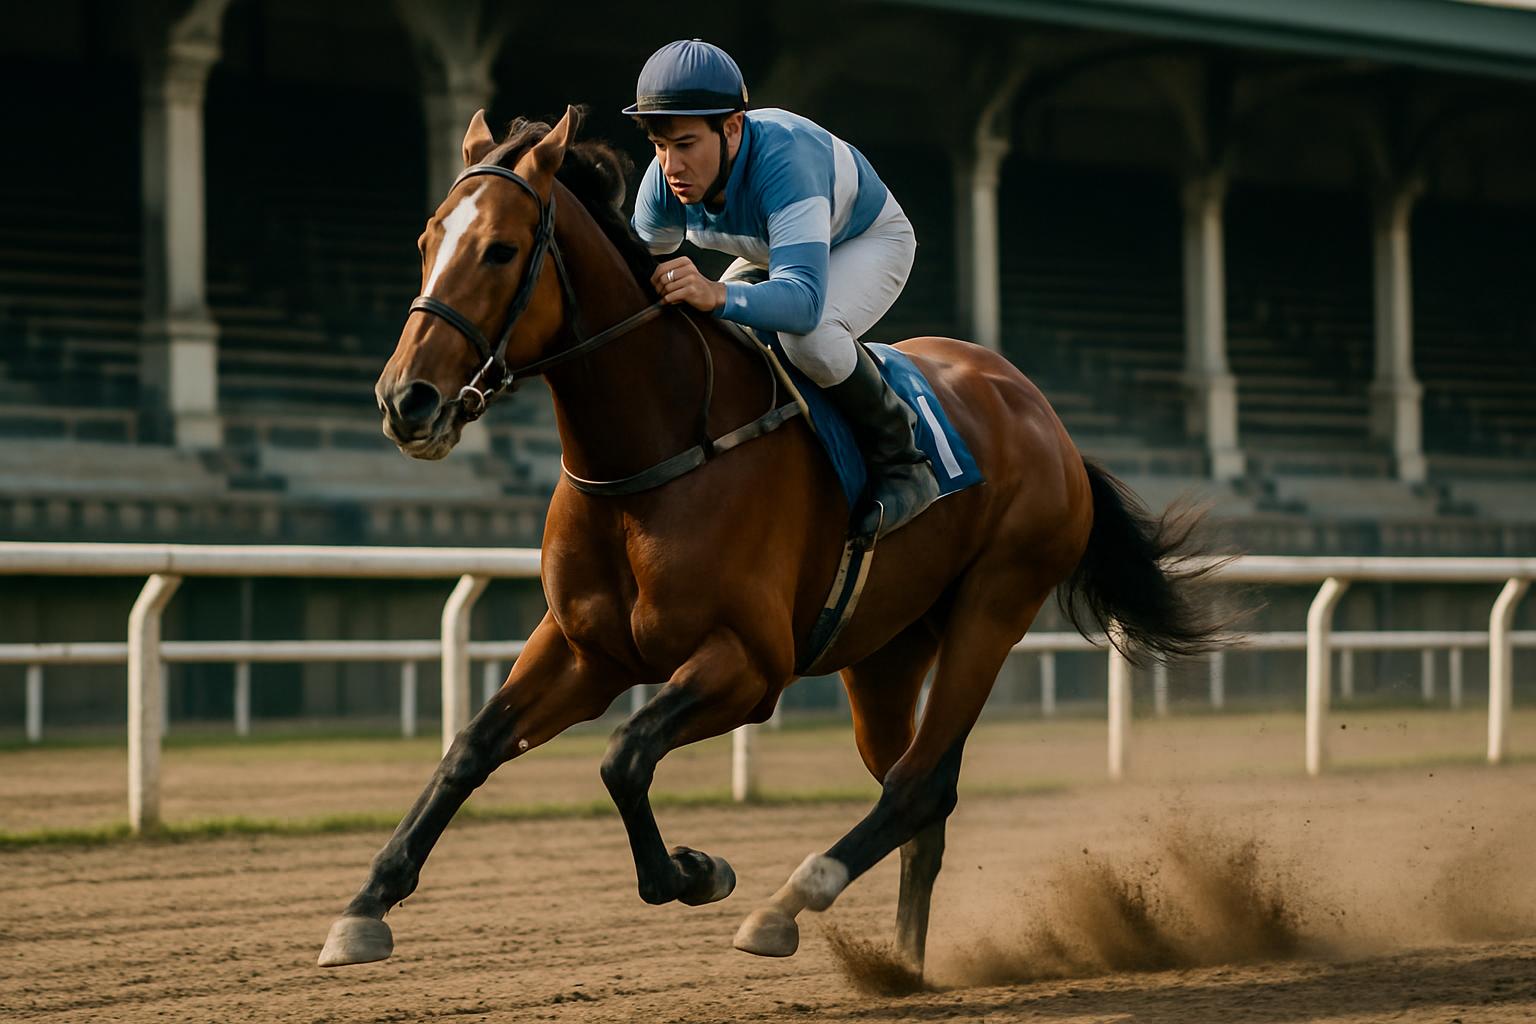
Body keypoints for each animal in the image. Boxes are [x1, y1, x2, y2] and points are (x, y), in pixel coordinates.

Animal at [320, 105, 1223, 973]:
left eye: (500, 250)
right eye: (426, 242)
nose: (406, 399)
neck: (652, 455)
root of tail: (1046, 418)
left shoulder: (749, 663)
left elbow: (624, 755)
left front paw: (697, 871)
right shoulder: (586, 649)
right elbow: (470, 748)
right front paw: (364, 909)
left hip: (994, 607)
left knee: (917, 785)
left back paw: (788, 906)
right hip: (885, 649)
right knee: (916, 794)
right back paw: (904, 962)